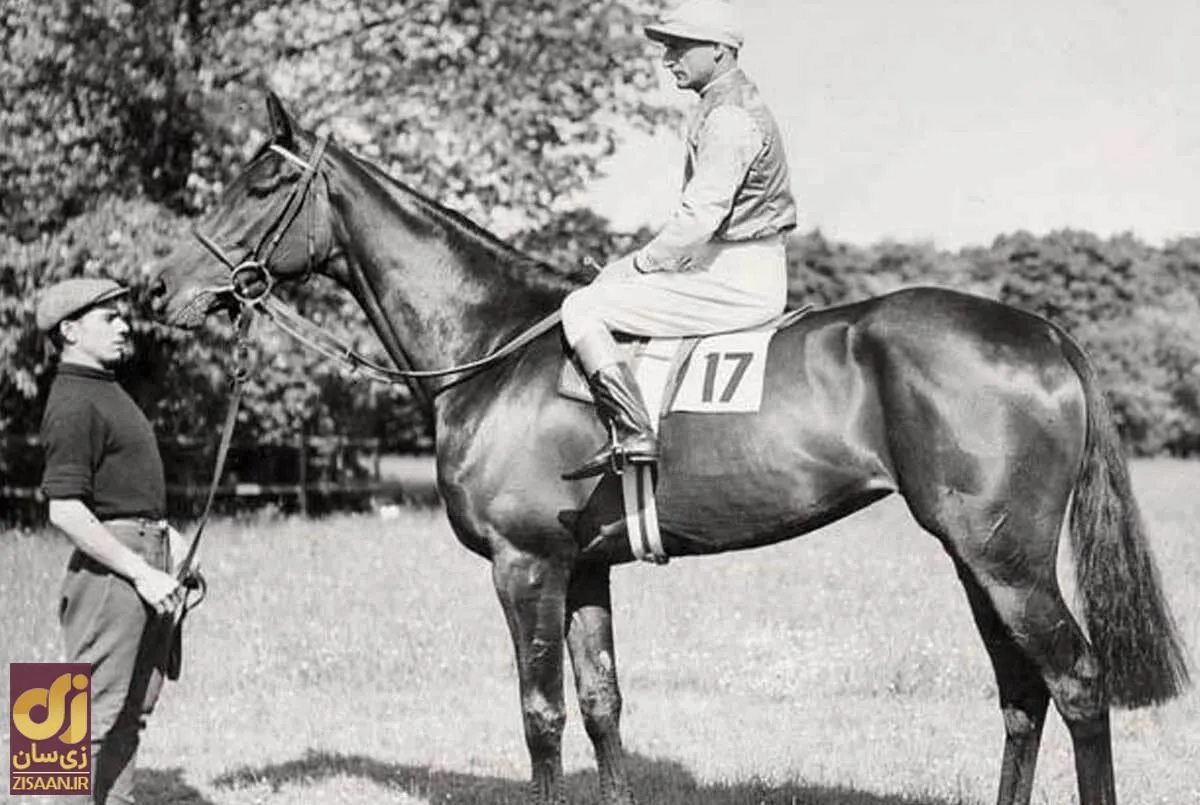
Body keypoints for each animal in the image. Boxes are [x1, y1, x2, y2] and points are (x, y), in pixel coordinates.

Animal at [153, 94, 1189, 805]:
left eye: (261, 182)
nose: (160, 287)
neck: (500, 343)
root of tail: (1040, 330)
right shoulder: (581, 569)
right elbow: (603, 704)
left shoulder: (525, 566)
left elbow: (541, 716)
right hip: (980, 560)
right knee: (1023, 693)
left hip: (1005, 560)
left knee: (1076, 682)